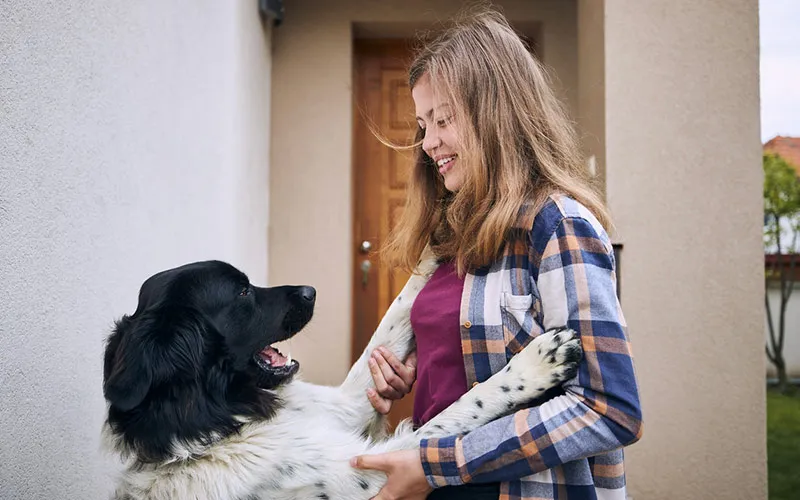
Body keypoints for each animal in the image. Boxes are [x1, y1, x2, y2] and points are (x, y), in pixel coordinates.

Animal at [104, 254, 580, 500]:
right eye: (242, 292)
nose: (311, 291)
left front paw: (437, 236)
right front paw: (537, 363)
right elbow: (460, 410)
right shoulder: (371, 471)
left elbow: (393, 318)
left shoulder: (342, 406)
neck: (217, 417)